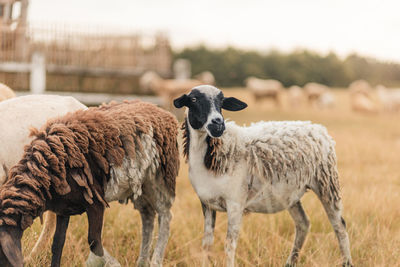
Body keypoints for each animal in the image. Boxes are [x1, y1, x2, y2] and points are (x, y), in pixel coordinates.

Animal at [173, 85, 352, 267]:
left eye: (222, 101)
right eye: (193, 99)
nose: (218, 123)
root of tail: (317, 128)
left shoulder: (235, 203)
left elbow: (229, 245)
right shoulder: (206, 204)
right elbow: (207, 245)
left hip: (327, 181)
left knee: (339, 225)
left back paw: (346, 261)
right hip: (290, 193)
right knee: (303, 223)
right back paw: (290, 262)